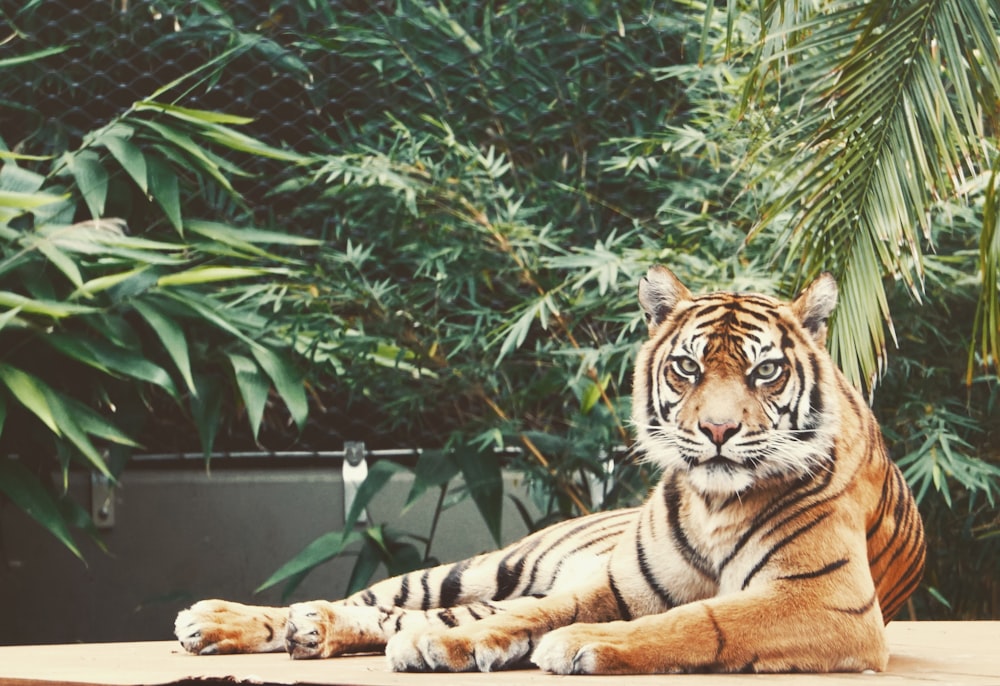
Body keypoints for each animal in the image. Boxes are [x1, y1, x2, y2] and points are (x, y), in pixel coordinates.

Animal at [174, 266, 928, 676]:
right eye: (687, 368)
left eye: (765, 372)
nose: (716, 431)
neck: (716, 503)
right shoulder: (615, 583)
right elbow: (536, 610)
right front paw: (457, 643)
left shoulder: (824, 602)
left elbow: (700, 620)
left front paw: (578, 644)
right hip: (481, 566)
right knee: (392, 598)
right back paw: (223, 620)